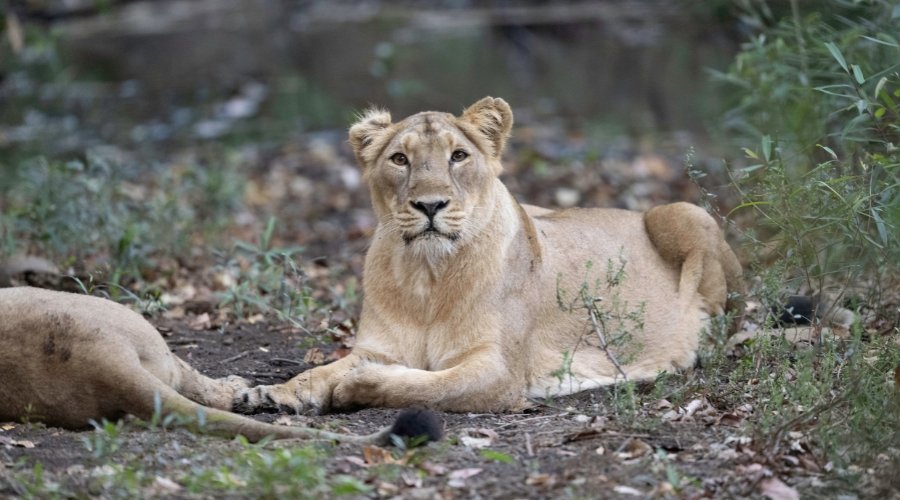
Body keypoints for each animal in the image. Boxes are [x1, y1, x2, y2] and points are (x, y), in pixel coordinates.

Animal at [233, 96, 743, 415]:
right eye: (399, 159)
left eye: (458, 156)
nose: (430, 205)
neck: (427, 276)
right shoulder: (378, 347)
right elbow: (320, 370)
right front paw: (272, 393)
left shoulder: (498, 371)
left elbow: (426, 387)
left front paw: (354, 388)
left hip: (682, 212)